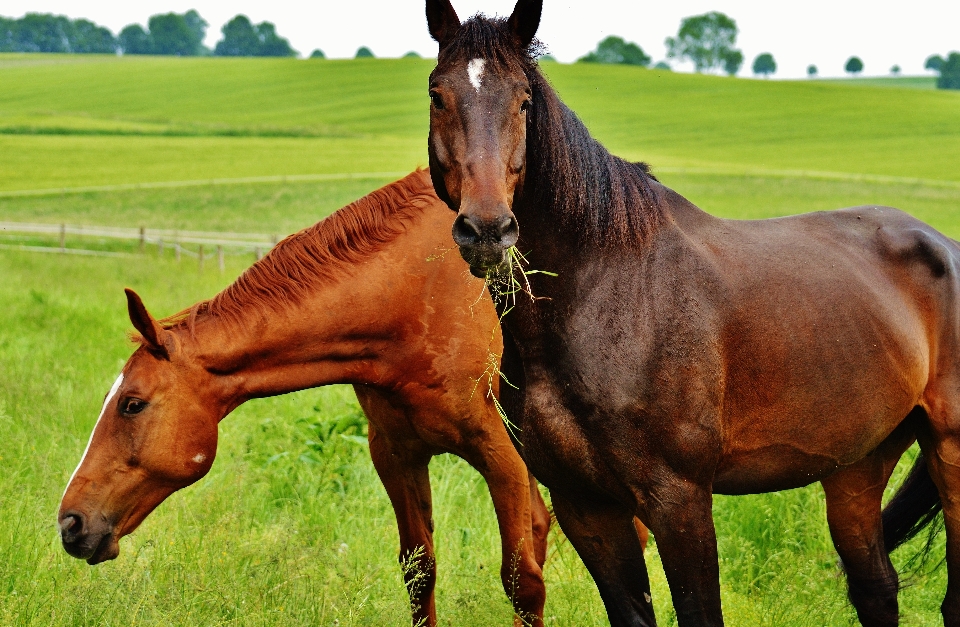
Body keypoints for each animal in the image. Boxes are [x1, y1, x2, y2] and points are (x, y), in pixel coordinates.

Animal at [56, 170, 548, 627]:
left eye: (132, 404)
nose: (69, 523)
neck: (418, 295)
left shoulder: (502, 458)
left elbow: (522, 581)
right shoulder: (397, 455)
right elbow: (419, 573)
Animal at [428, 2, 952, 624]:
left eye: (524, 100)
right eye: (438, 95)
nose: (486, 228)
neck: (603, 298)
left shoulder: (679, 499)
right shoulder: (583, 505)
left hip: (949, 450)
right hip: (857, 466)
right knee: (876, 586)